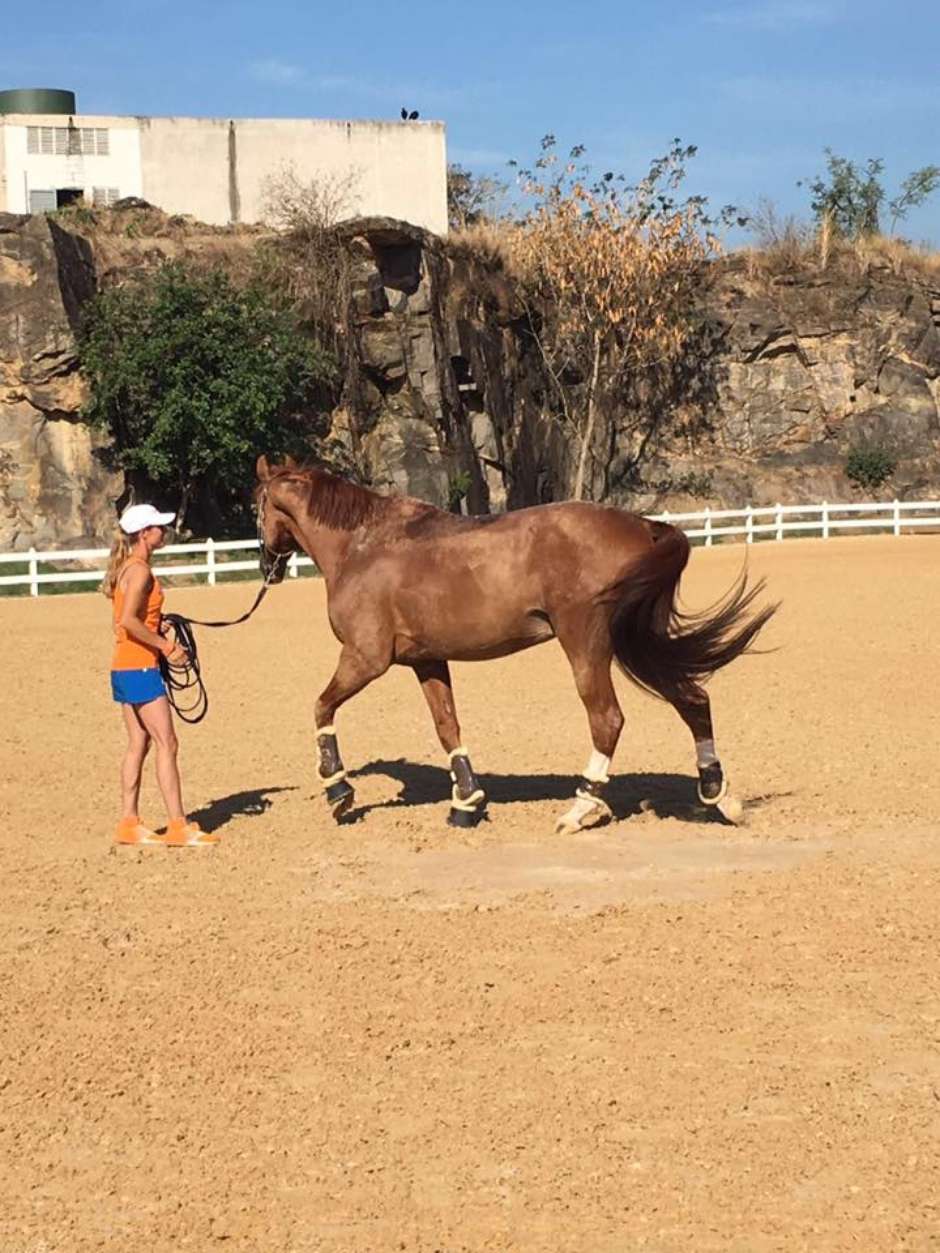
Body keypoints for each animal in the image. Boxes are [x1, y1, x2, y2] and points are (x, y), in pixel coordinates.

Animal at [254, 453, 777, 831]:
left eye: (255, 504)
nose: (267, 566)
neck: (363, 546)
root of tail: (645, 526)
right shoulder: (427, 661)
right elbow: (448, 727)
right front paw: (466, 803)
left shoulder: (366, 657)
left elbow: (322, 707)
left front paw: (338, 790)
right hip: (637, 640)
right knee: (693, 699)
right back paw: (718, 794)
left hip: (586, 641)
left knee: (608, 719)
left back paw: (580, 809)